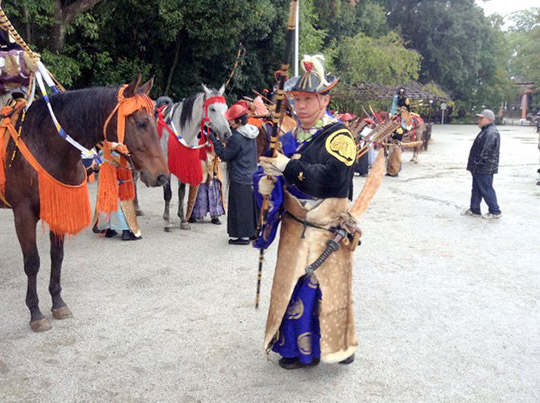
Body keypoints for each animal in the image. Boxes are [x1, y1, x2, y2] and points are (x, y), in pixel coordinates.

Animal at [0, 77, 168, 332]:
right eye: (141, 123)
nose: (162, 176)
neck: (45, 145)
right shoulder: (23, 214)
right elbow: (32, 263)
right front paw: (36, 313)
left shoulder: (59, 209)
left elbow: (57, 256)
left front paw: (58, 303)